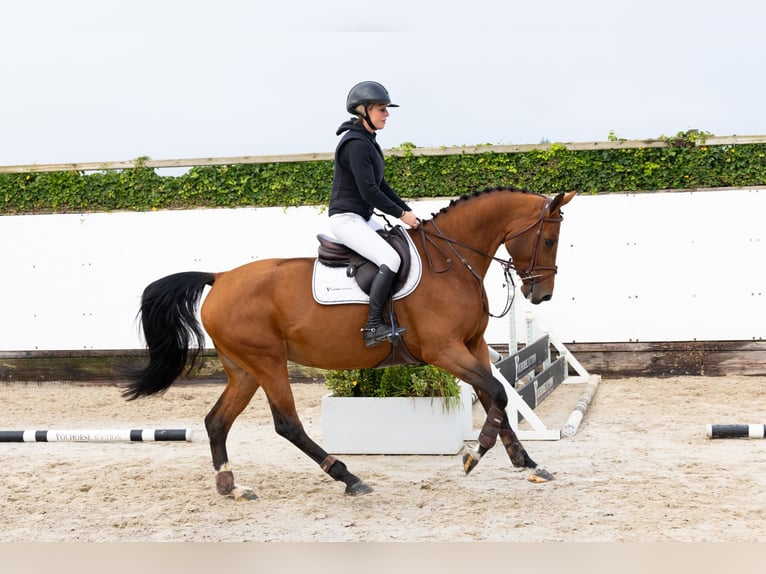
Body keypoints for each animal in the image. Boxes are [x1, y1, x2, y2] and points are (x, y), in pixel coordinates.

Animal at [123, 187, 576, 500]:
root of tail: (219, 277)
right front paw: (474, 456)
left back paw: (230, 486)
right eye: (549, 240)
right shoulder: (444, 351)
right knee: (287, 424)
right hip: (267, 362)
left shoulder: (474, 346)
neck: (450, 261)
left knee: (217, 421)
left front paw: (526, 462)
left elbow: (495, 396)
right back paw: (348, 477)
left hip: (243, 369)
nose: (541, 295)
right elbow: (496, 391)